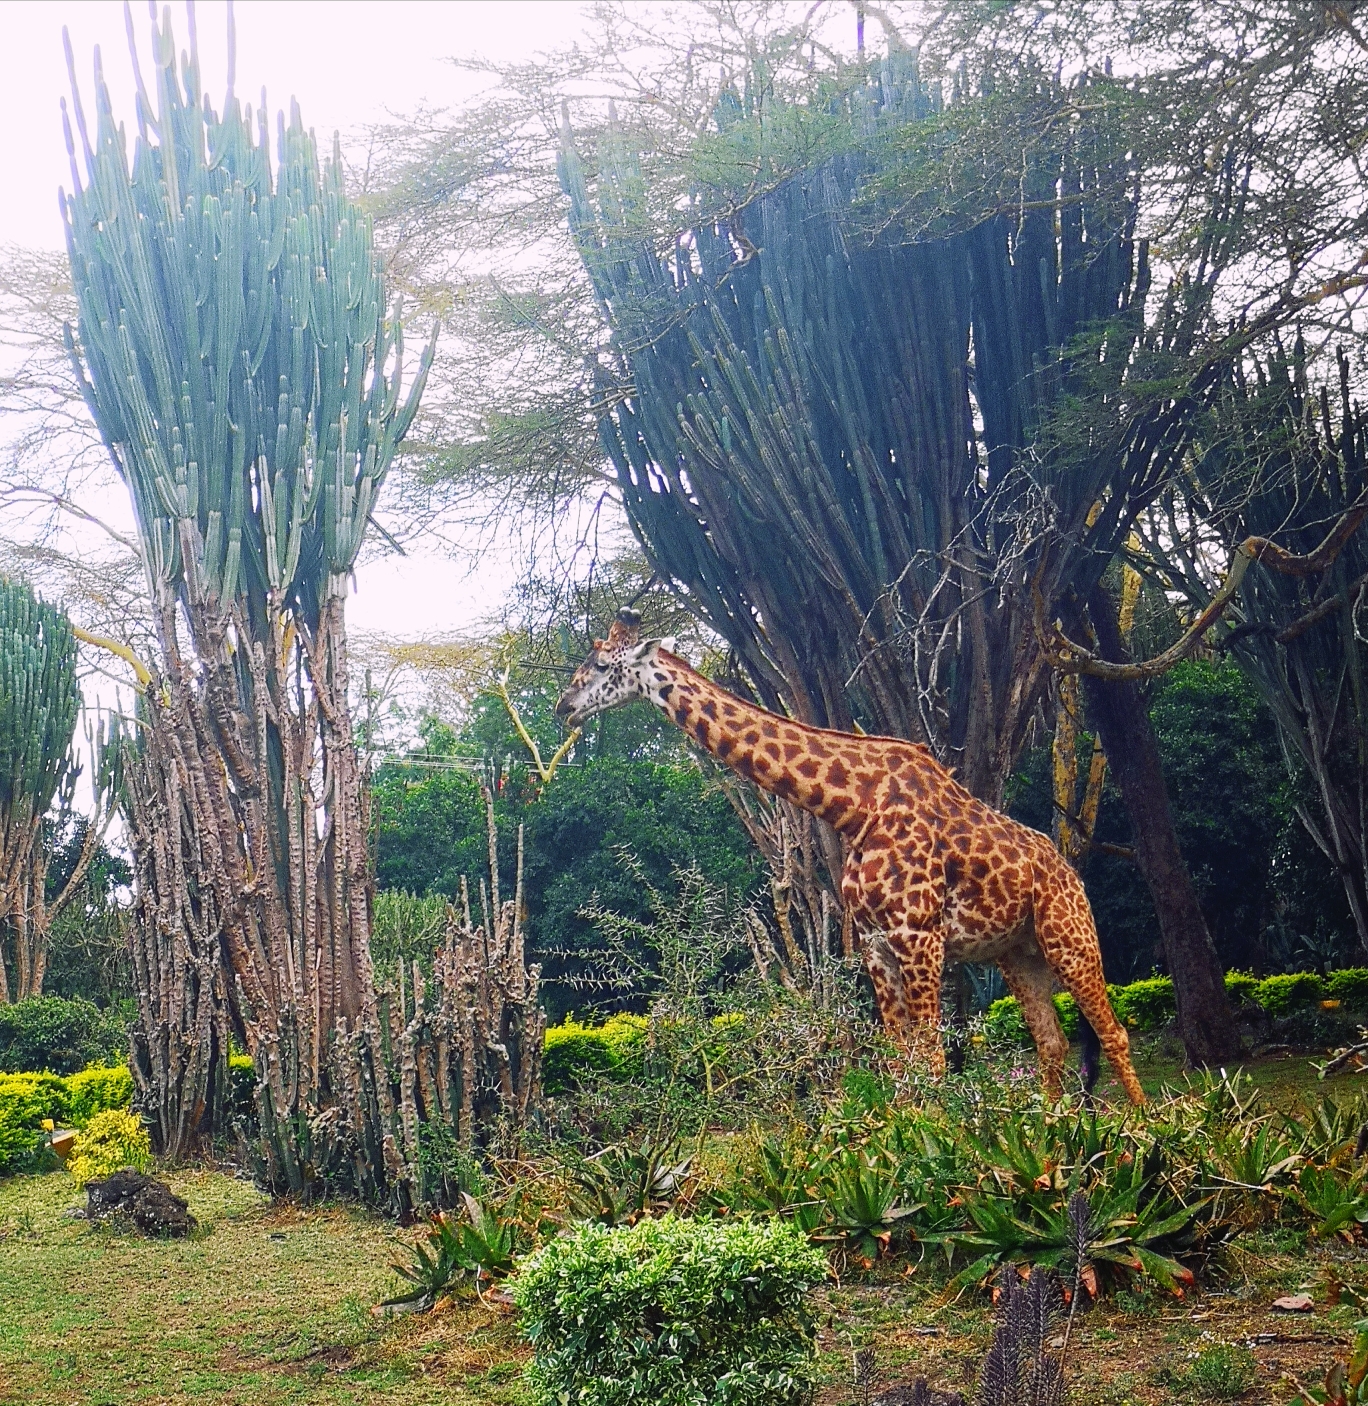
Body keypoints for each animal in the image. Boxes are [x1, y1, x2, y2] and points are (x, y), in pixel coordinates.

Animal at [551, 610, 1141, 1102]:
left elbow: (931, 1060)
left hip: (1069, 937)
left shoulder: (919, 935)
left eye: (601, 663)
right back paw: (1051, 1150)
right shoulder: (877, 944)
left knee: (1112, 1032)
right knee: (1052, 1043)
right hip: (1018, 954)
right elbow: (901, 1063)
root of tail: (1068, 870)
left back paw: (1139, 1133)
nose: (564, 707)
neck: (853, 807)